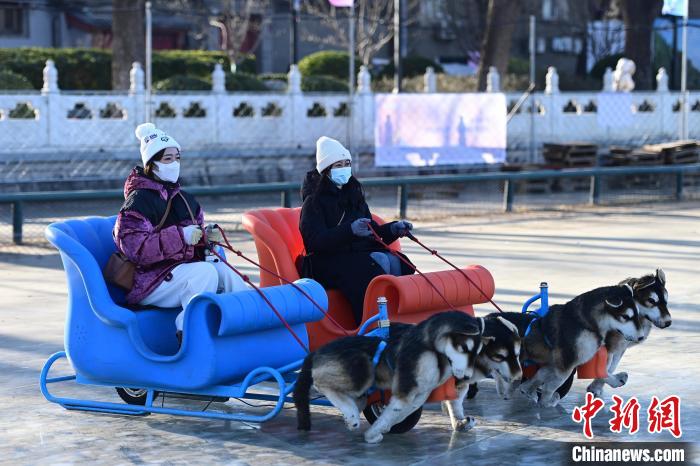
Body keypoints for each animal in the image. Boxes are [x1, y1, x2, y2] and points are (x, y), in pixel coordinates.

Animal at [292, 312, 484, 442]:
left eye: (477, 353)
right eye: (464, 349)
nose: (467, 377)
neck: (430, 347)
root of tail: (316, 352)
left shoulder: (418, 394)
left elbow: (395, 414)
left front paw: (377, 430)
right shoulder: (405, 391)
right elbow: (395, 412)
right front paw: (372, 434)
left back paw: (349, 414)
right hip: (362, 367)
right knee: (319, 381)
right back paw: (352, 416)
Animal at [516, 282, 644, 406]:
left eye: (637, 314)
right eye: (625, 317)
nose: (642, 337)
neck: (587, 323)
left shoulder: (555, 363)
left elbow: (537, 378)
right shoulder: (565, 365)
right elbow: (550, 388)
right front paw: (547, 402)